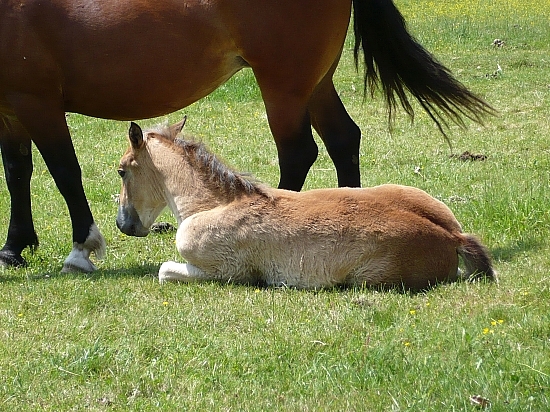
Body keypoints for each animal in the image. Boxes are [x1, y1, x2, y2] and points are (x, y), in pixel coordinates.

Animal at [1, 0, 496, 272]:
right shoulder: (9, 109)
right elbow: (17, 173)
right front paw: (13, 247)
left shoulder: (37, 102)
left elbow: (64, 173)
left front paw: (81, 249)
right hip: (314, 84)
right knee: (343, 140)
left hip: (283, 85)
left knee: (298, 152)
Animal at [116, 120, 496, 290]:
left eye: (121, 170)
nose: (123, 224)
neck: (213, 204)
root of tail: (452, 238)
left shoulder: (225, 273)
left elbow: (164, 270)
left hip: (367, 279)